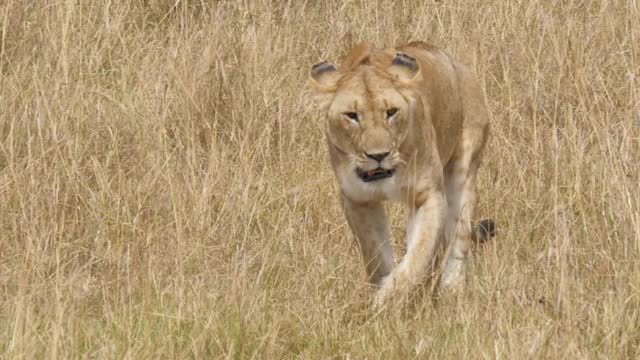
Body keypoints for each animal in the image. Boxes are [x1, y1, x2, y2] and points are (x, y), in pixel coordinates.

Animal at [308, 40, 492, 308]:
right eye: (352, 116)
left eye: (391, 112)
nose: (378, 155)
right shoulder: (357, 200)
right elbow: (375, 254)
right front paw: (382, 293)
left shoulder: (429, 196)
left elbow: (419, 254)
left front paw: (387, 300)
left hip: (464, 170)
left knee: (459, 235)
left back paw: (451, 290)